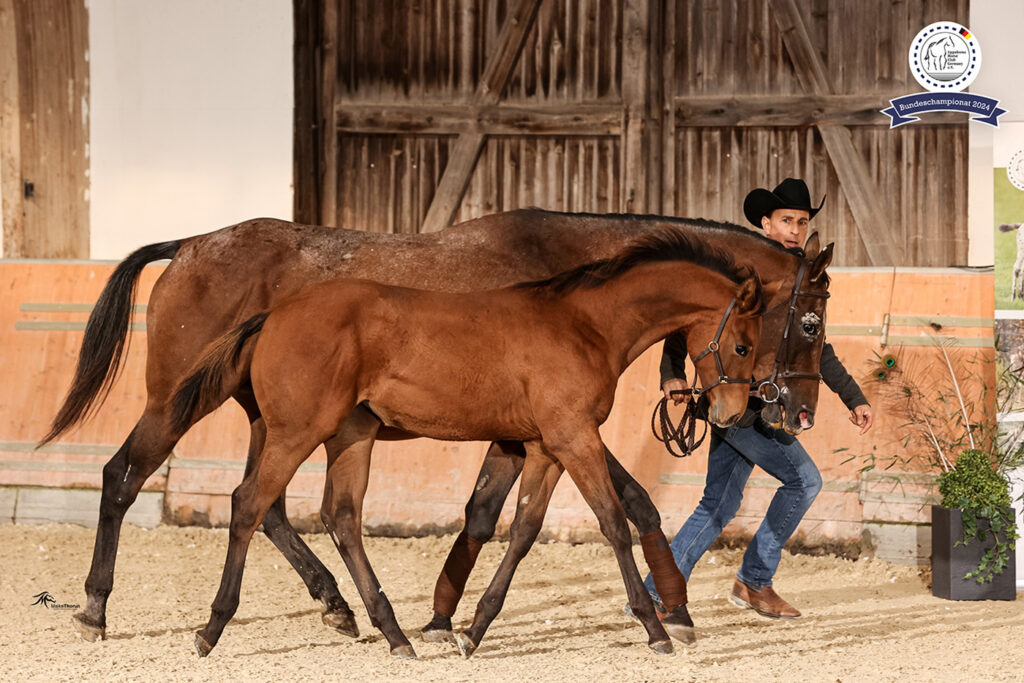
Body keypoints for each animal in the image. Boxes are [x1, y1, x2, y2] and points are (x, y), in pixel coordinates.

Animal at [44, 210, 831, 643]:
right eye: (810, 323)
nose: (790, 412)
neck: (569, 286)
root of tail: (190, 244)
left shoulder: (522, 434)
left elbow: (494, 517)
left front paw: (447, 615)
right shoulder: (559, 428)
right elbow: (627, 502)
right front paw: (672, 605)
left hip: (275, 419)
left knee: (267, 507)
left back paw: (340, 606)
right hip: (181, 405)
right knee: (125, 476)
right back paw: (95, 607)